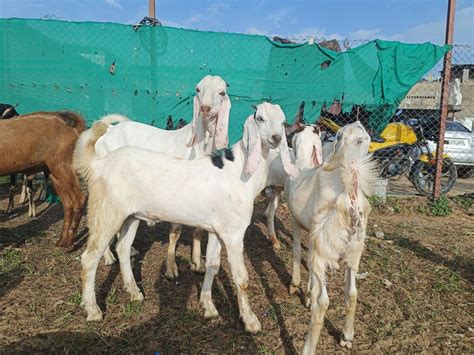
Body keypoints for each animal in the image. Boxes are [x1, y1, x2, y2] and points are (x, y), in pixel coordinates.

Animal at [0, 111, 86, 248]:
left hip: (62, 165)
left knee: (79, 200)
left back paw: (69, 243)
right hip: (52, 171)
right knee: (68, 204)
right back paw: (61, 241)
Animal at [286, 122, 378, 354]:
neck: (303, 164)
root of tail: (350, 197)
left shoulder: (296, 222)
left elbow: (296, 251)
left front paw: (295, 286)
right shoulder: (313, 235)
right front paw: (308, 293)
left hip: (325, 248)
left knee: (324, 302)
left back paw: (307, 348)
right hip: (354, 249)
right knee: (352, 292)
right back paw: (346, 337)